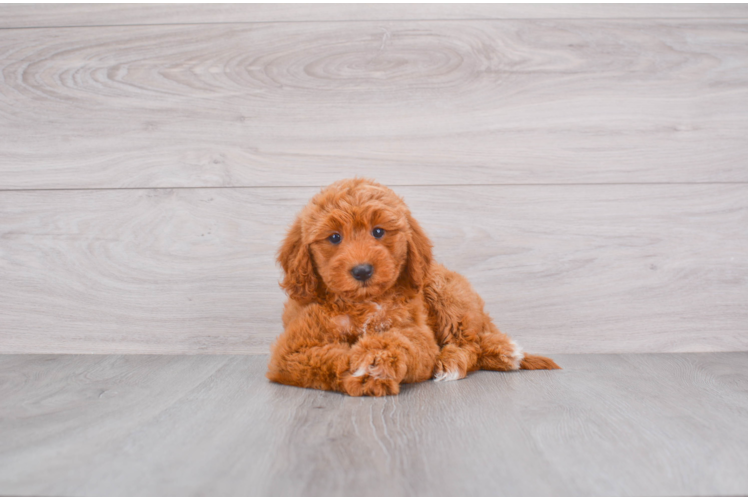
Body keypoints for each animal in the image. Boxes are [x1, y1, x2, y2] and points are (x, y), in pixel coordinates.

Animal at [266, 178, 560, 396]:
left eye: (378, 232)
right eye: (335, 237)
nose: (362, 270)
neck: (362, 303)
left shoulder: (419, 334)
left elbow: (401, 340)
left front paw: (376, 359)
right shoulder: (290, 352)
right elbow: (325, 357)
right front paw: (363, 370)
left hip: (444, 292)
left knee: (470, 343)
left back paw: (455, 361)